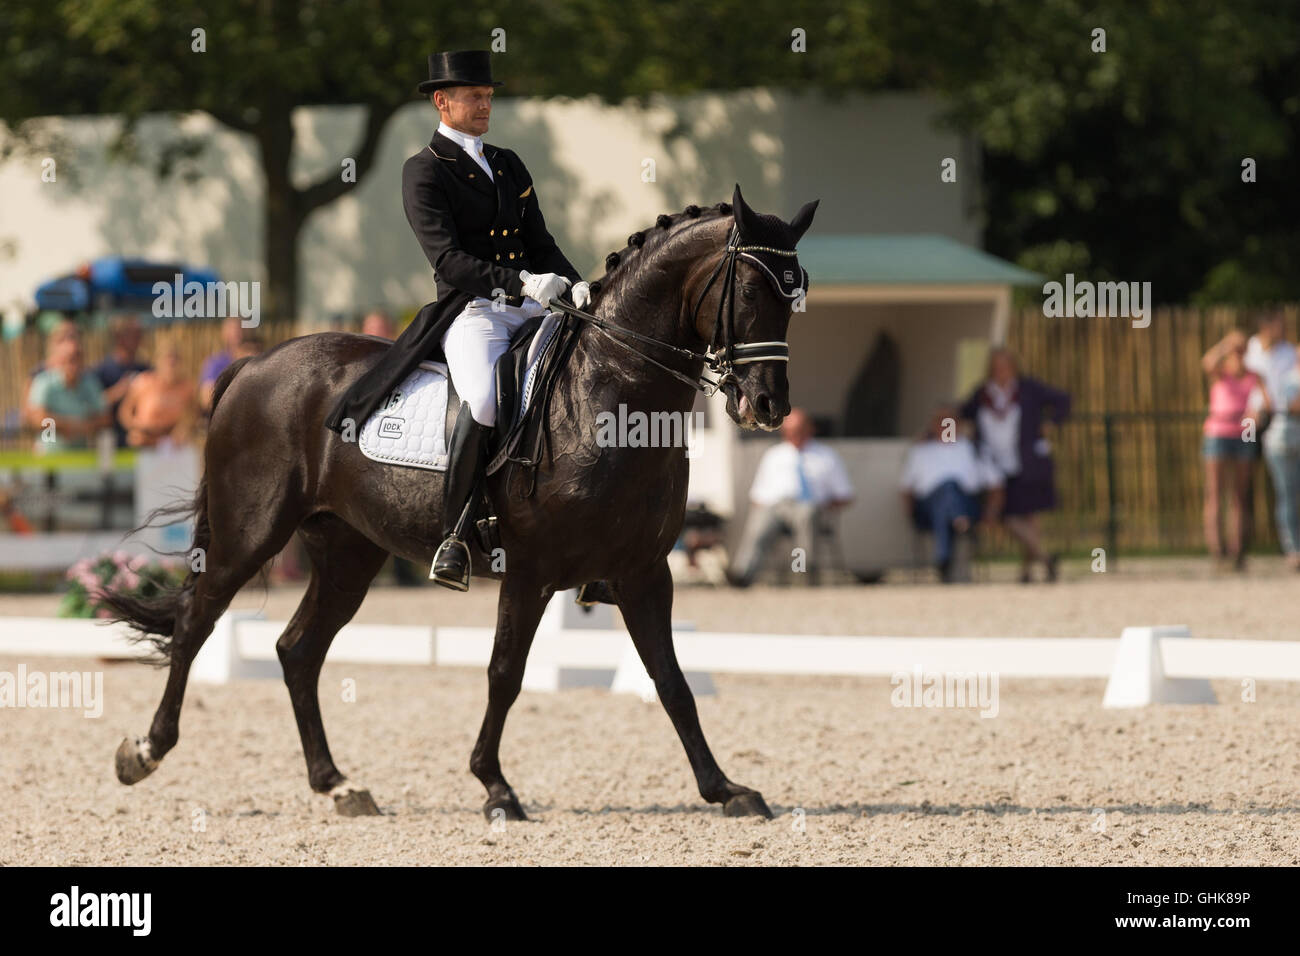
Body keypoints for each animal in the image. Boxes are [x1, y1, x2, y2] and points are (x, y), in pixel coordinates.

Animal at [104, 184, 818, 821]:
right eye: (749, 291)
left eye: (797, 293)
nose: (767, 405)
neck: (609, 392)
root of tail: (253, 365)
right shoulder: (529, 571)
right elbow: (505, 673)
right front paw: (495, 787)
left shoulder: (644, 572)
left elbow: (672, 683)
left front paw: (727, 791)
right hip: (249, 532)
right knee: (196, 621)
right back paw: (144, 752)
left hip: (346, 550)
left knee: (298, 650)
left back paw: (338, 786)